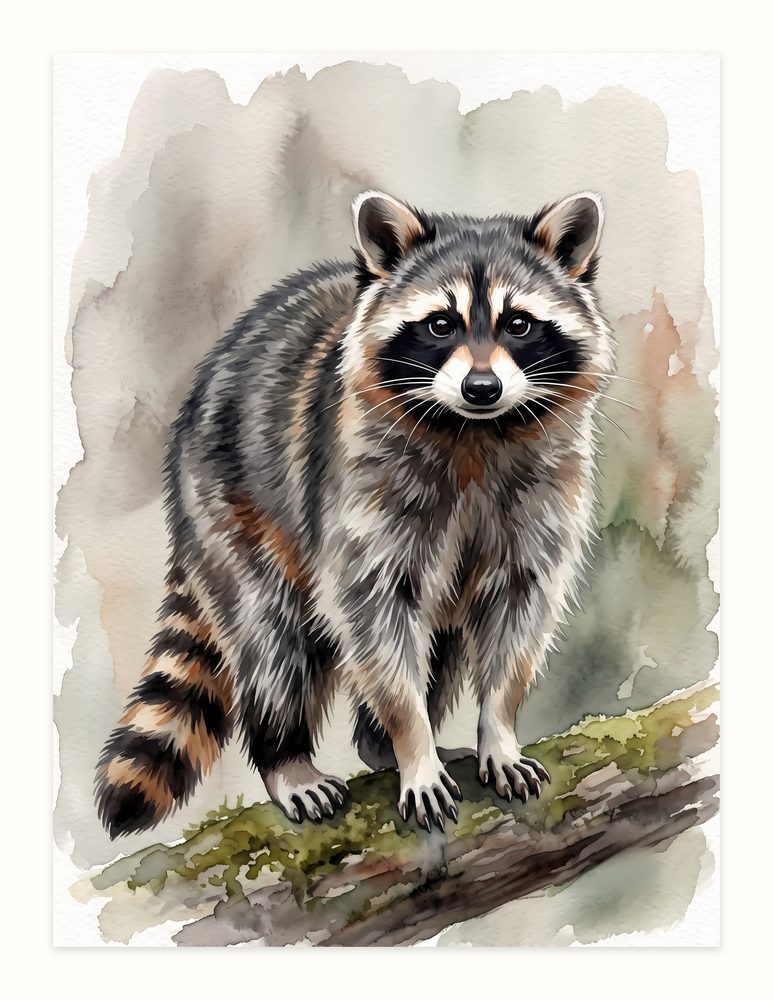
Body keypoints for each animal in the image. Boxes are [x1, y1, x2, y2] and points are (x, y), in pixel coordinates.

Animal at [96, 190, 612, 836]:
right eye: (440, 324)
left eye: (518, 323)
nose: (482, 387)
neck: (475, 432)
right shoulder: (358, 489)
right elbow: (373, 617)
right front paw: (412, 743)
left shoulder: (544, 494)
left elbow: (519, 618)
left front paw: (497, 729)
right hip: (229, 507)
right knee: (273, 643)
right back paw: (286, 756)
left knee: (439, 649)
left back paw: (377, 743)